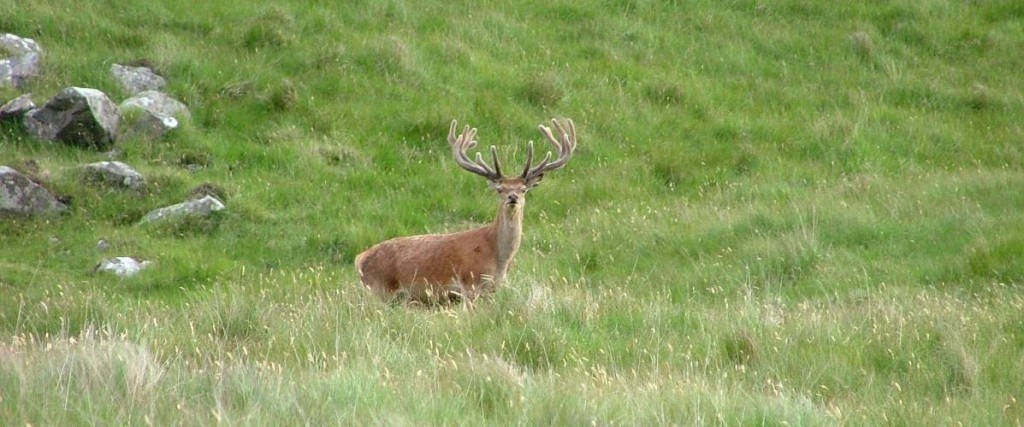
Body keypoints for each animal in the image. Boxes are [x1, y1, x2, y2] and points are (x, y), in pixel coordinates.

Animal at [354, 118, 577, 305]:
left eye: (523, 189)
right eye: (500, 189)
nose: (512, 197)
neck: (498, 259)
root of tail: (360, 259)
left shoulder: (492, 290)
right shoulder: (469, 284)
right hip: (378, 289)